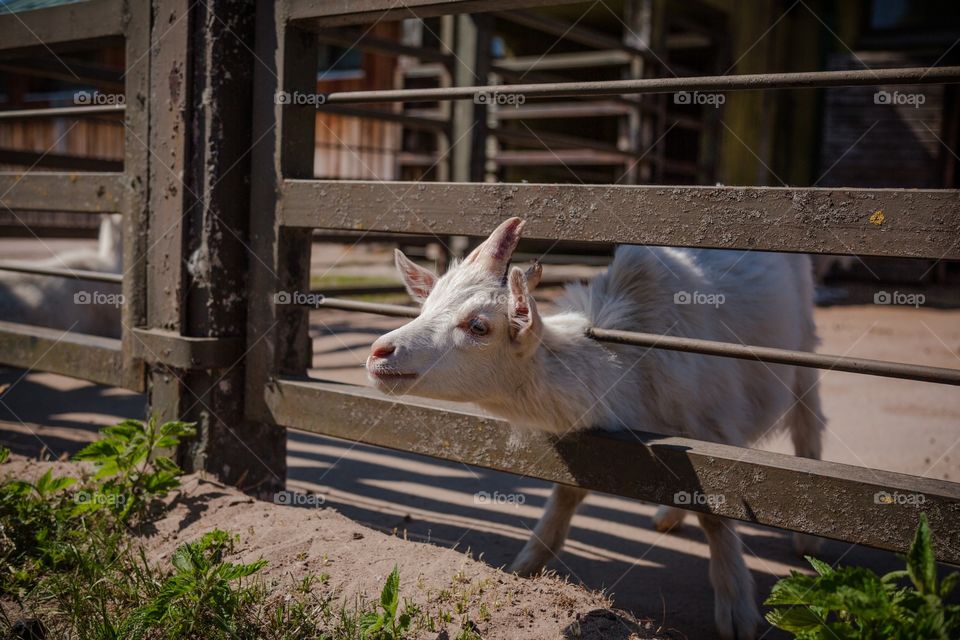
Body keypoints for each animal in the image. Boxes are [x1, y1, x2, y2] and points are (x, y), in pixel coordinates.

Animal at [368, 218, 824, 636]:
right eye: (426, 308)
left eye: (478, 326)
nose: (378, 352)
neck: (630, 363)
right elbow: (568, 491)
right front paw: (525, 566)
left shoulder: (714, 428)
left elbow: (716, 512)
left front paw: (736, 613)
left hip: (803, 344)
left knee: (808, 418)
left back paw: (807, 541)